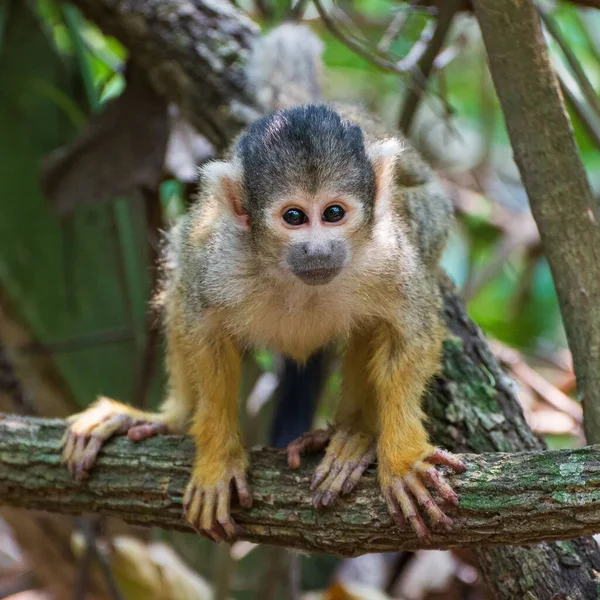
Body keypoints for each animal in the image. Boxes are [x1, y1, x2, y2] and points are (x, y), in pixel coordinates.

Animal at [62, 24, 464, 544]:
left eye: (334, 213)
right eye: (294, 217)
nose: (317, 248)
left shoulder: (389, 253)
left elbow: (407, 334)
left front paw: (401, 458)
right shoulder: (221, 258)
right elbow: (200, 324)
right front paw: (217, 461)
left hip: (422, 217)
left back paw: (352, 435)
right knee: (183, 271)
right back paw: (171, 419)